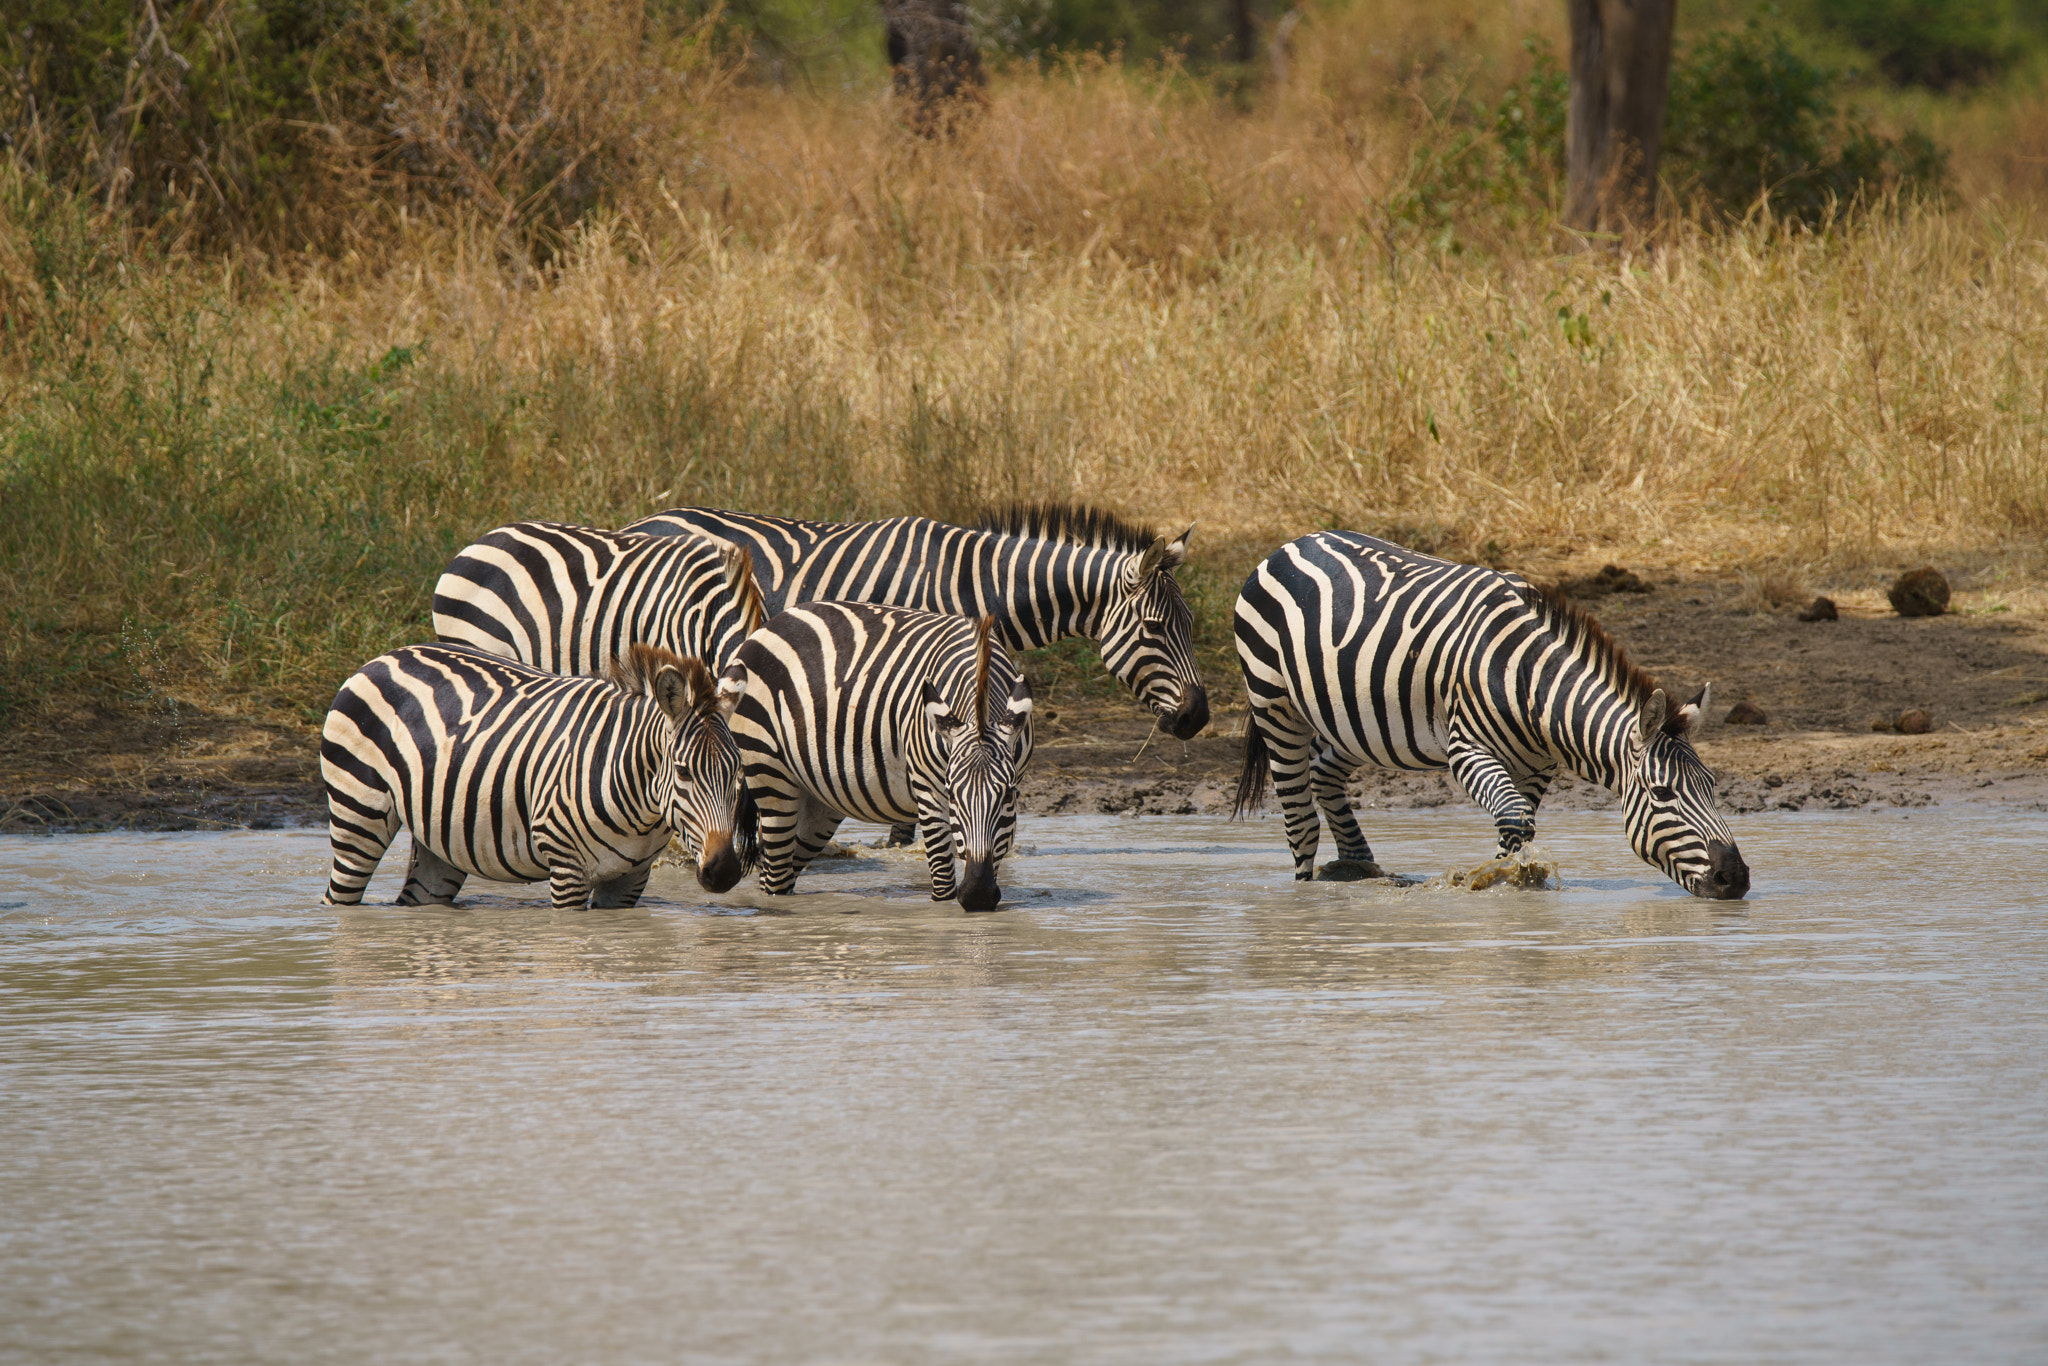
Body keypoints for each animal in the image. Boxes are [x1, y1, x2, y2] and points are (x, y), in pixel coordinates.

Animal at [323, 643, 757, 917]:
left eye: (738, 773)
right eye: (683, 772)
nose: (723, 872)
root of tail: (382, 658)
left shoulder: (630, 878)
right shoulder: (566, 867)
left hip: (437, 842)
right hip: (357, 813)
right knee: (338, 896)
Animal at [729, 606, 1032, 909]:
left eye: (1009, 795)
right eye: (952, 795)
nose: (976, 895)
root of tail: (774, 622)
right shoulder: (928, 790)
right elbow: (943, 879)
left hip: (818, 798)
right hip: (769, 774)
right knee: (775, 873)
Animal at [1220, 532, 1753, 897]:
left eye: (1712, 788)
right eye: (1662, 794)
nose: (1736, 878)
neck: (1533, 687)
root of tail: (1292, 543)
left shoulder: (1537, 766)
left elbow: (1519, 828)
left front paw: (1511, 882)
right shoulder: (1468, 749)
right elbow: (1515, 821)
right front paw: (1502, 886)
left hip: (1355, 720)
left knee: (1324, 770)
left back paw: (1357, 869)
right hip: (1274, 704)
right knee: (1299, 821)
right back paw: (1307, 895)